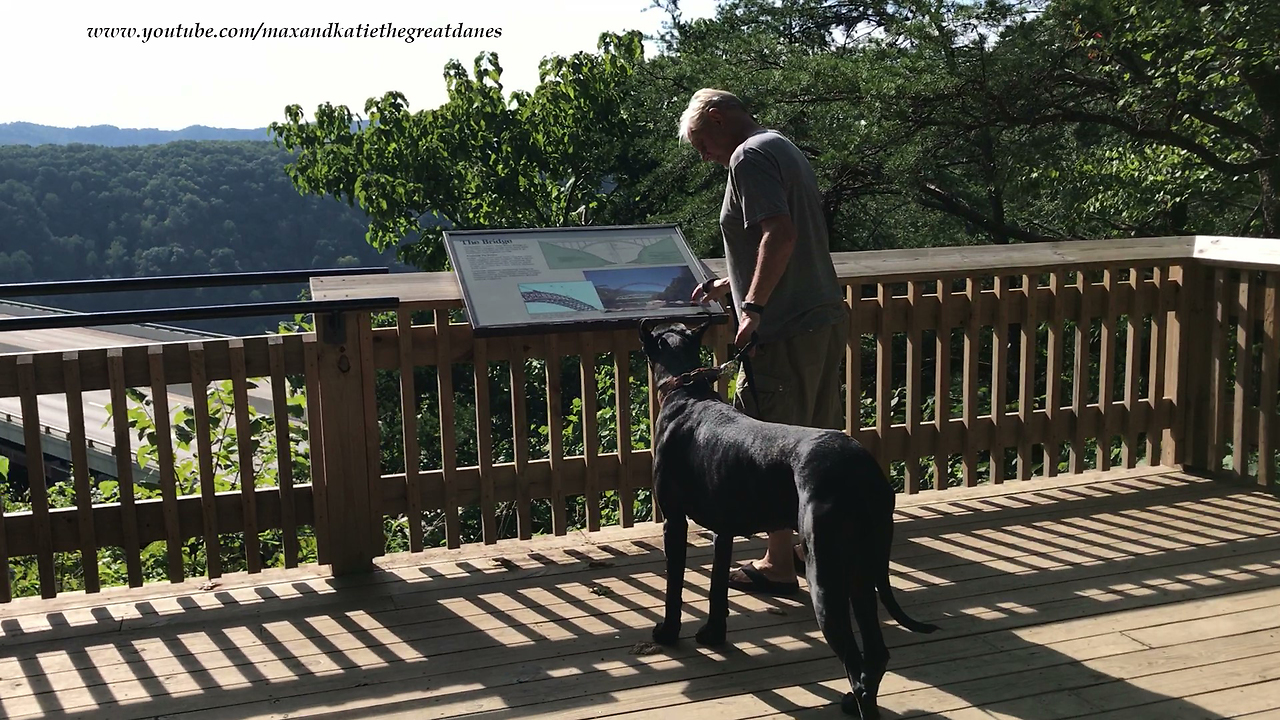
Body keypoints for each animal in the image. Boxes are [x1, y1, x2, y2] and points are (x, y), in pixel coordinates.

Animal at [645, 319, 936, 717]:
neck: (687, 391)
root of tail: (864, 472)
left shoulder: (674, 522)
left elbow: (674, 586)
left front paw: (668, 632)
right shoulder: (723, 531)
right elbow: (717, 586)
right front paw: (713, 634)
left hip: (826, 575)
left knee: (855, 663)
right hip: (862, 570)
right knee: (876, 653)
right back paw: (852, 701)